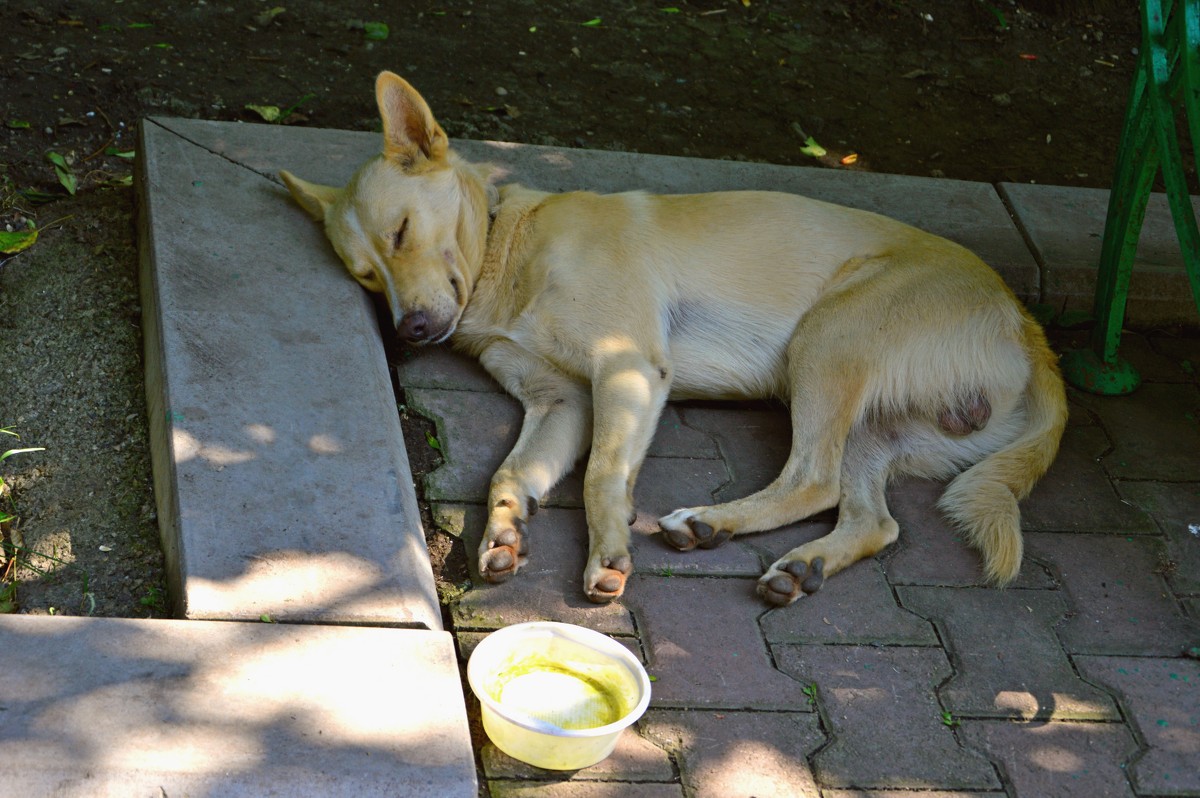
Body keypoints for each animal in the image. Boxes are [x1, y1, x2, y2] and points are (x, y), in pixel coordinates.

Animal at [283, 73, 1070, 604]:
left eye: (401, 233)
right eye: (365, 276)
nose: (410, 331)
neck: (510, 250)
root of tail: (1027, 327)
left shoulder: (627, 369)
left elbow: (602, 475)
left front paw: (608, 553)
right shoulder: (562, 401)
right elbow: (511, 473)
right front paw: (505, 532)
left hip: (828, 339)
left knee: (811, 477)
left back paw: (710, 522)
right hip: (876, 429)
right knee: (874, 521)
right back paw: (802, 565)